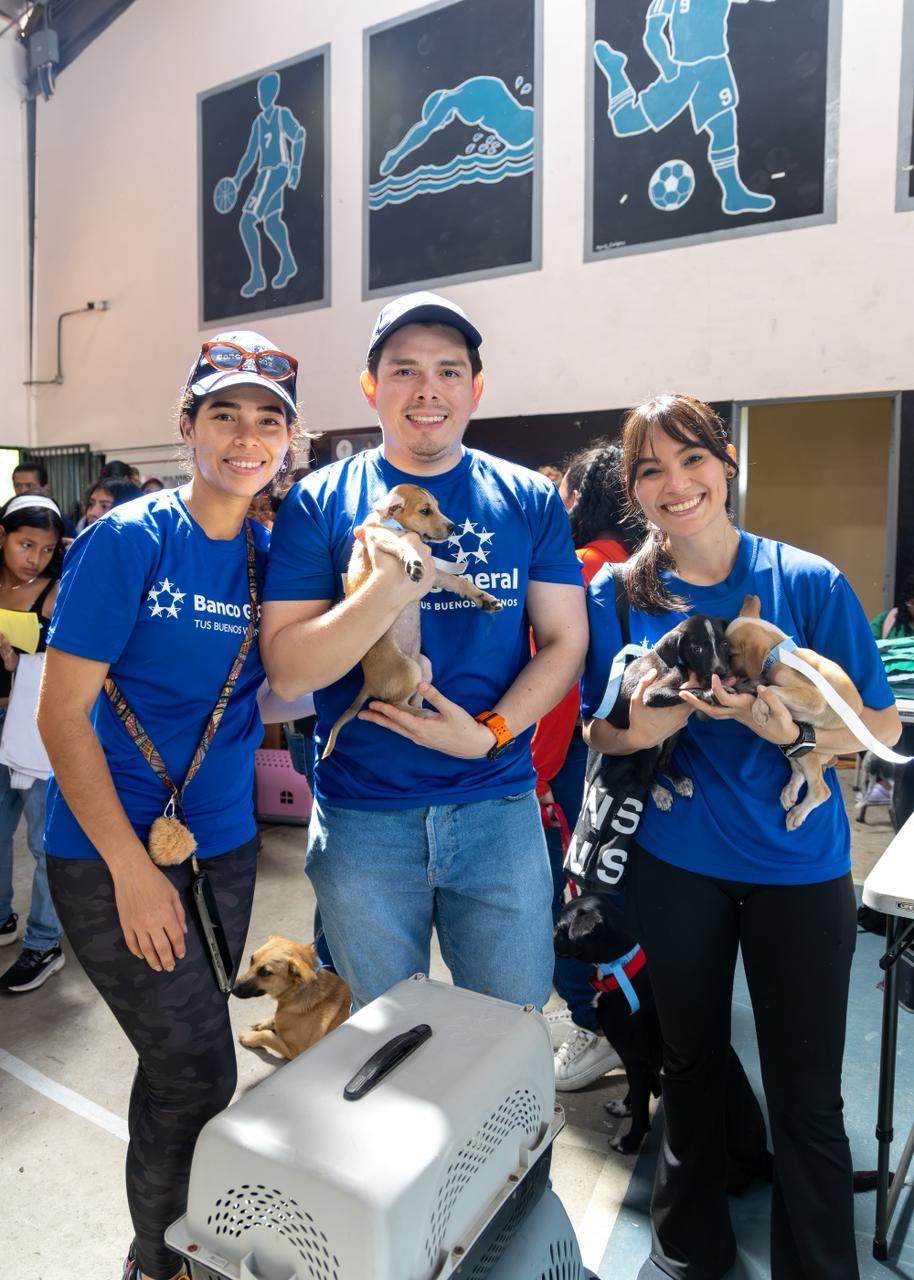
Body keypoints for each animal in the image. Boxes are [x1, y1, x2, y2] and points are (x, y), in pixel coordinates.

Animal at [322, 484, 501, 757]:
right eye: (425, 510)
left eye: (437, 507)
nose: (453, 527)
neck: (393, 523)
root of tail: (368, 682)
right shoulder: (379, 538)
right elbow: (403, 545)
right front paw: (413, 561)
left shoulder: (435, 574)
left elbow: (458, 581)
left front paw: (484, 599)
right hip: (409, 670)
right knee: (396, 705)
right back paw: (423, 715)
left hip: (424, 665)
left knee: (414, 696)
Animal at [554, 894, 773, 1191]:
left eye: (560, 927)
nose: (549, 939)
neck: (621, 968)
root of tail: (762, 1156)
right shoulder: (638, 1062)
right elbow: (636, 1093)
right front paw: (622, 1107)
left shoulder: (635, 1058)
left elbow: (640, 1107)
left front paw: (628, 1143)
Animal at [607, 614, 731, 811]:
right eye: (697, 649)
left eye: (725, 644)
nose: (723, 673)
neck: (679, 662)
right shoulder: (651, 693)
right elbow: (687, 692)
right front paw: (710, 693)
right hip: (651, 744)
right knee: (643, 774)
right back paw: (659, 792)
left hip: (673, 735)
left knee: (661, 764)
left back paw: (679, 780)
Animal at [725, 594, 863, 830]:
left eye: (731, 654)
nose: (721, 672)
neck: (781, 654)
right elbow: (763, 685)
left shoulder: (814, 697)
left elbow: (771, 689)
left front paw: (759, 708)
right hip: (793, 747)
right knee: (798, 771)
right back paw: (789, 793)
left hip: (812, 753)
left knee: (820, 789)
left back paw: (798, 813)